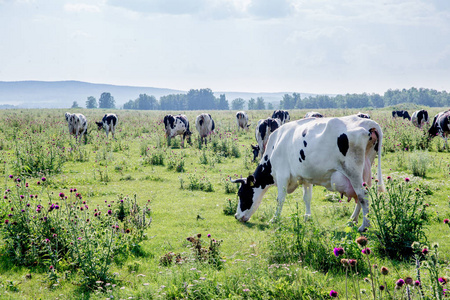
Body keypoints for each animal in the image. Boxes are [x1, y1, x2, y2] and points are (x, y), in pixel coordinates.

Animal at [230, 115, 384, 232]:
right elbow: (307, 198)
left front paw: (274, 219)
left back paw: (364, 226)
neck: (276, 144)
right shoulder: (306, 178)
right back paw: (353, 219)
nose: (236, 216)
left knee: (363, 196)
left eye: (242, 194)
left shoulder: (282, 175)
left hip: (353, 172)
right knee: (362, 196)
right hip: (364, 171)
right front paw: (307, 217)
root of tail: (368, 123)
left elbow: (280, 199)